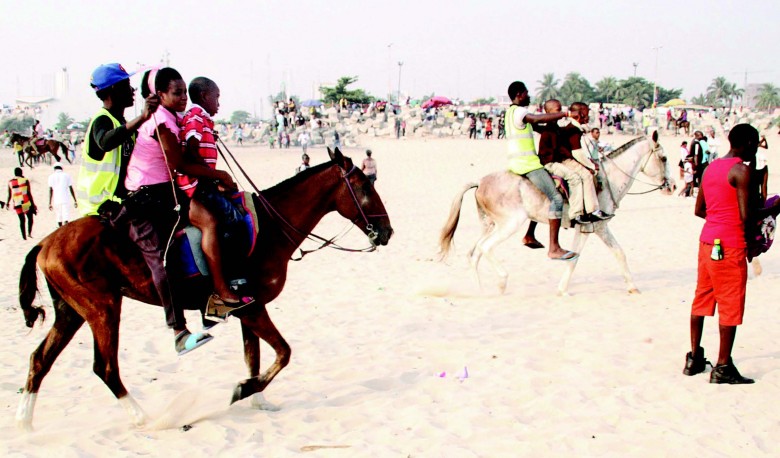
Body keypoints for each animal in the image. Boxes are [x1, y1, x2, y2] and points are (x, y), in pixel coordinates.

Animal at [16, 148, 396, 432]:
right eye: (365, 187)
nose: (386, 231)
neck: (269, 228)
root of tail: (46, 242)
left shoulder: (248, 310)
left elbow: (254, 357)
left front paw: (258, 398)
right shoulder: (252, 309)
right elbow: (283, 353)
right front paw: (245, 390)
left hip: (71, 312)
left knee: (39, 360)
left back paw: (25, 423)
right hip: (103, 309)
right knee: (105, 367)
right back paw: (142, 417)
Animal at [442, 131, 672, 296]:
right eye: (664, 158)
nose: (672, 186)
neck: (607, 181)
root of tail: (480, 182)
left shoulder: (594, 228)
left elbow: (617, 253)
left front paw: (632, 287)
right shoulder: (592, 226)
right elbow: (579, 258)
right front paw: (562, 290)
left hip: (490, 225)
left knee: (474, 253)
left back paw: (480, 290)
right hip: (510, 224)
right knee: (486, 247)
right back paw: (501, 282)